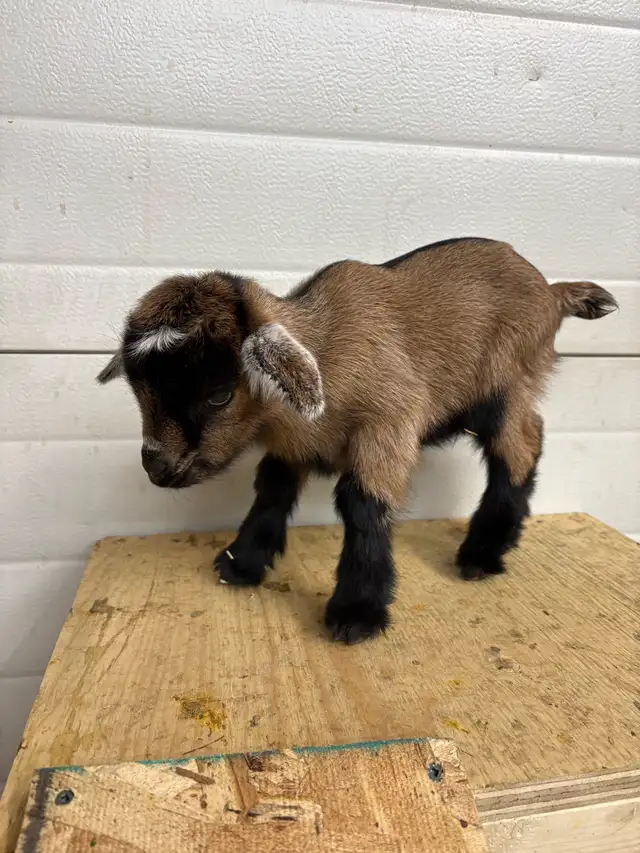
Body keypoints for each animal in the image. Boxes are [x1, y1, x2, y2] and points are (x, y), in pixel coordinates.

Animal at [97, 237, 617, 643]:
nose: (156, 467)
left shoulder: (390, 423)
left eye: (219, 395)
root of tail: (552, 292)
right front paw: (241, 563)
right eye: (139, 390)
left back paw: (482, 554)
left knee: (521, 448)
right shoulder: (293, 444)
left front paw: (356, 613)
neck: (325, 352)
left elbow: (362, 504)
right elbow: (271, 491)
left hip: (506, 385)